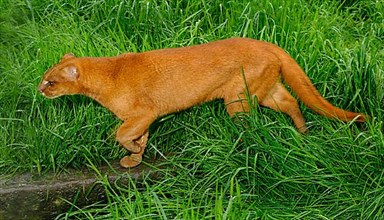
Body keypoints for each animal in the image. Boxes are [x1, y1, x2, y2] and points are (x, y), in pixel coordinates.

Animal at [38, 38, 366, 168]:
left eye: (51, 82)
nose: (40, 90)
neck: (108, 74)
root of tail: (265, 43)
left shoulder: (145, 111)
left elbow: (121, 133)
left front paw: (131, 151)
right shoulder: (142, 117)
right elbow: (138, 136)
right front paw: (136, 157)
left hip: (238, 98)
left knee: (254, 121)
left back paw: (243, 145)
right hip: (264, 89)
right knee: (291, 102)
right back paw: (302, 133)